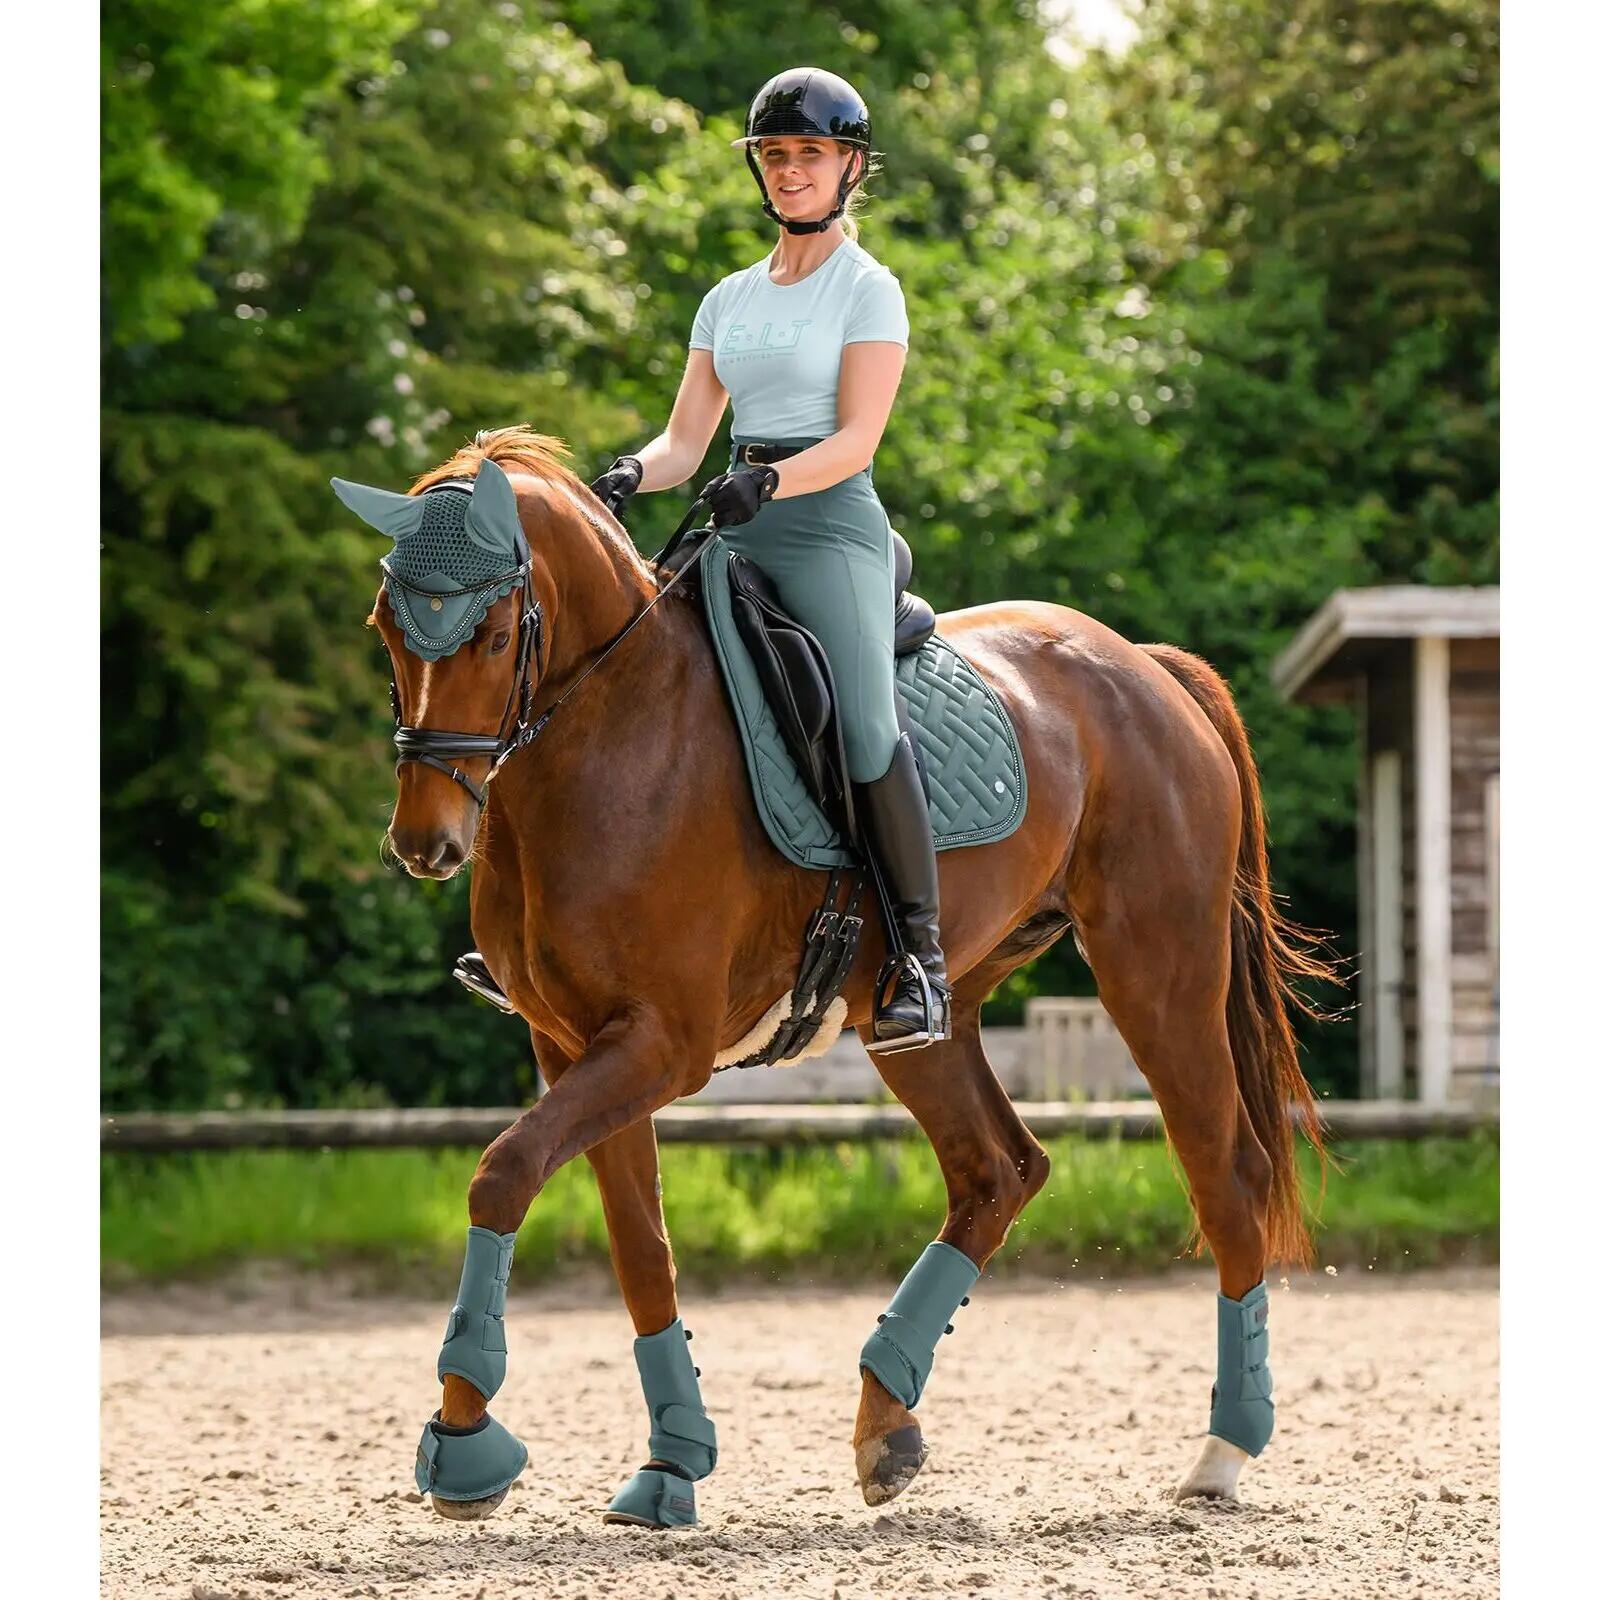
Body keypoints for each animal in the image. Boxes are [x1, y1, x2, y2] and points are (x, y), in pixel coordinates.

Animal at [347, 425, 1331, 1525]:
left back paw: (1221, 1450)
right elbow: (639, 1243)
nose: (425, 844)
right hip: (919, 1018)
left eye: (488, 631)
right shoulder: (572, 1046)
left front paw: (463, 1445)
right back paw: (886, 1424)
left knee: (1225, 1174)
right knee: (999, 1170)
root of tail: (1142, 666)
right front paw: (671, 1461)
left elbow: (503, 1172)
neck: (606, 728)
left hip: (1157, 973)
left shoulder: (661, 1043)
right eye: (387, 625)